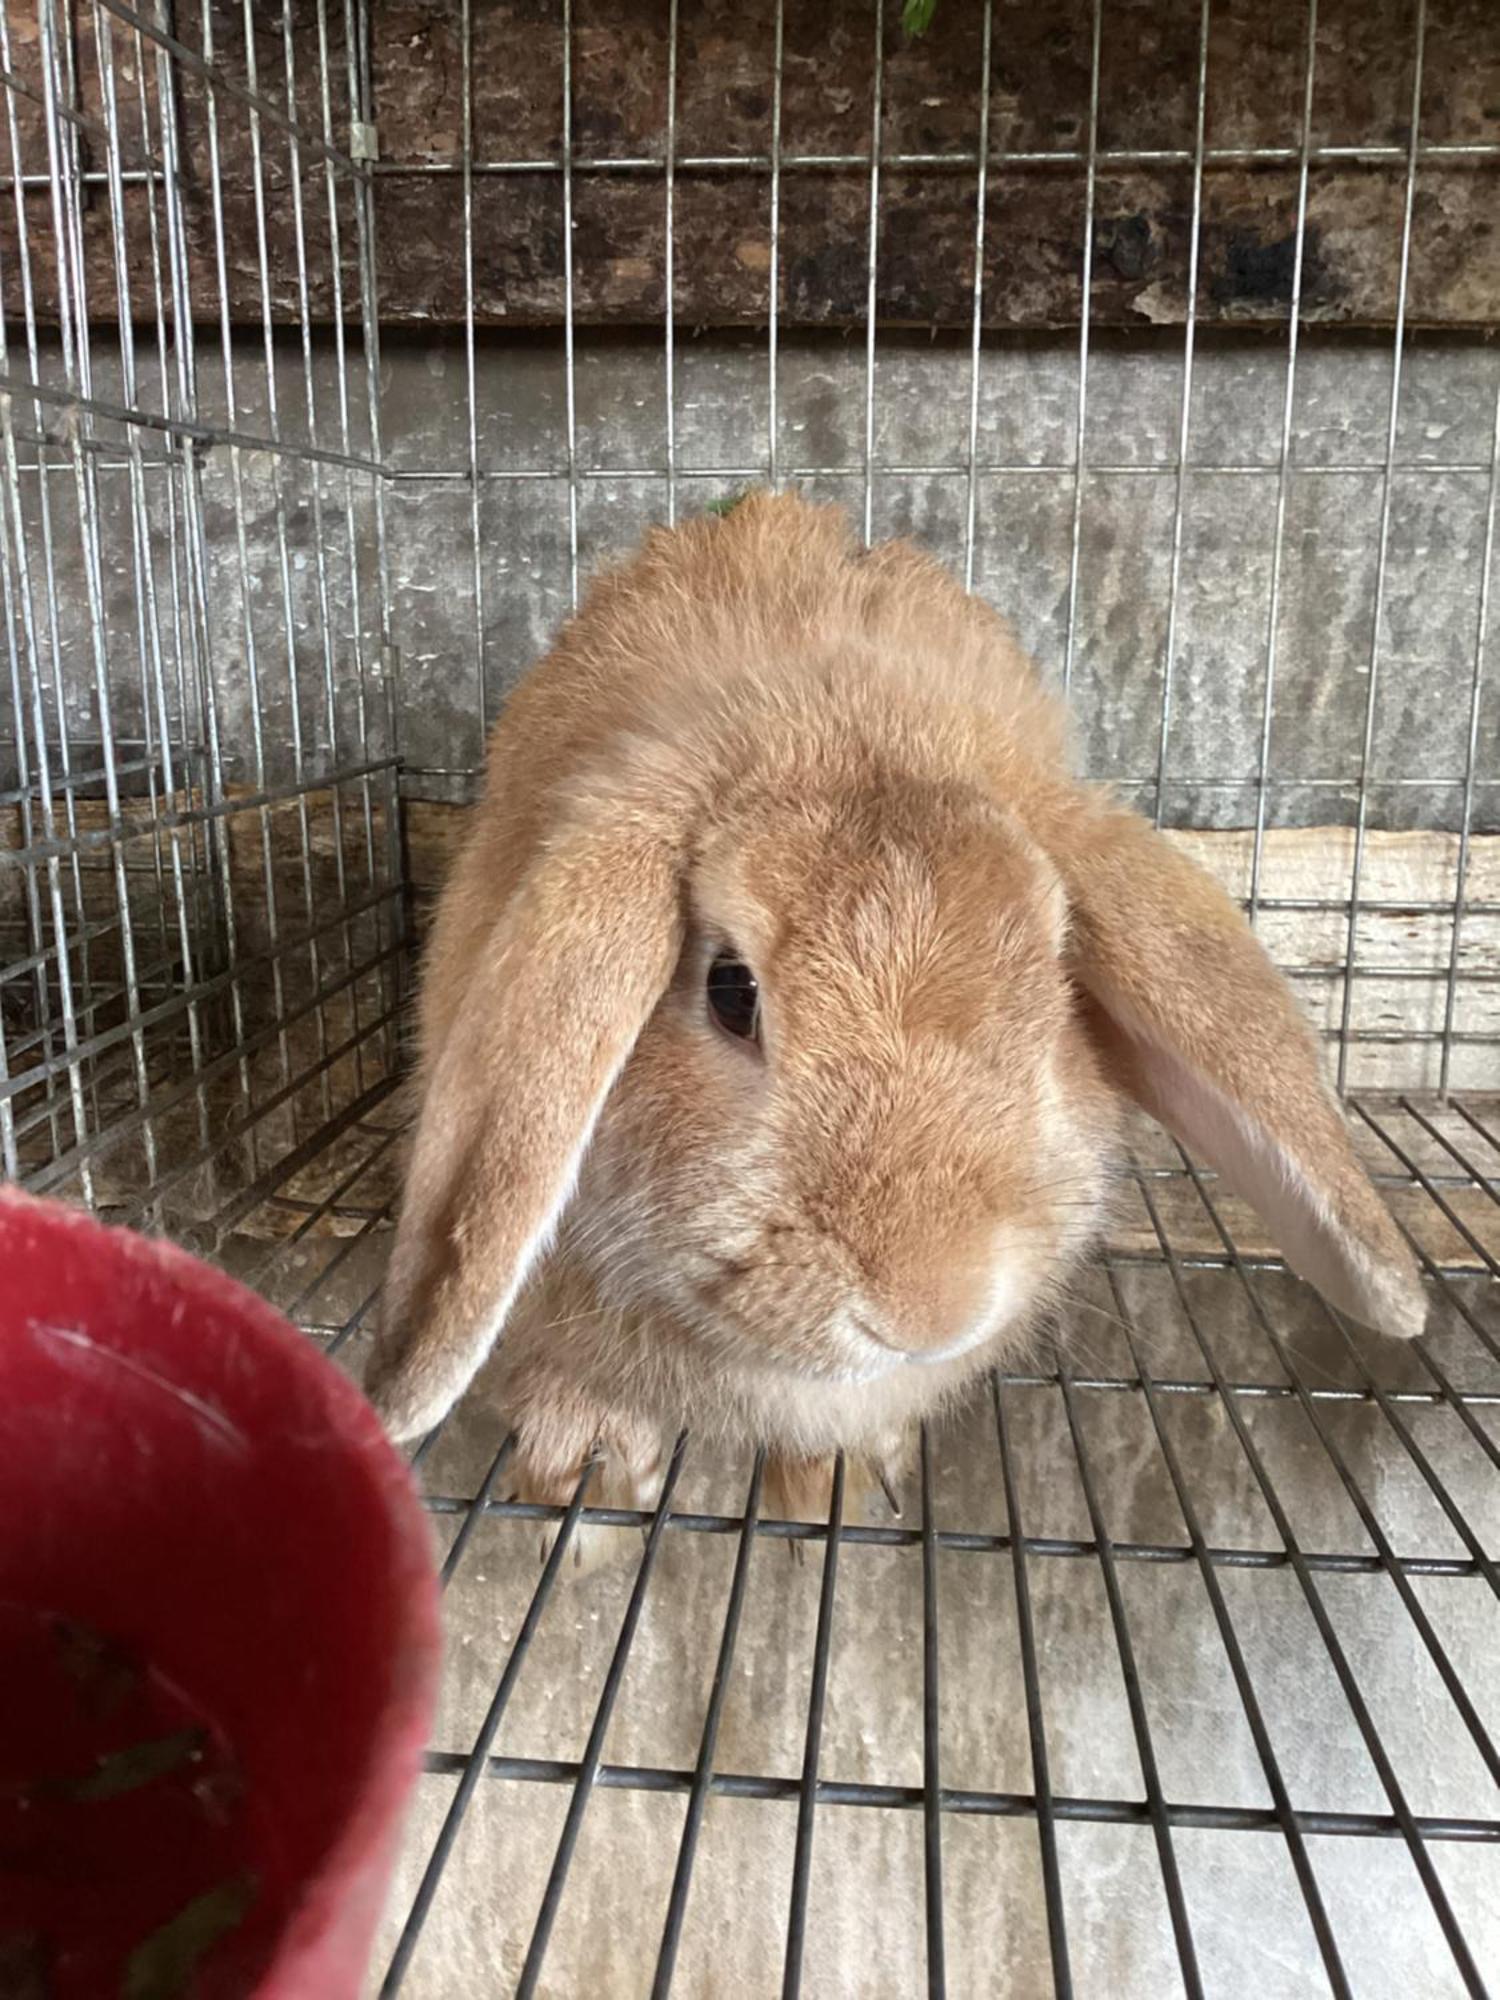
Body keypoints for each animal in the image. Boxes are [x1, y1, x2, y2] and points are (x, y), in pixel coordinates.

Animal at [370, 496, 1424, 1512]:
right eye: (730, 992)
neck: (836, 716)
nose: (931, 1309)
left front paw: (839, 1471)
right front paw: (583, 1461)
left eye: (1057, 979)